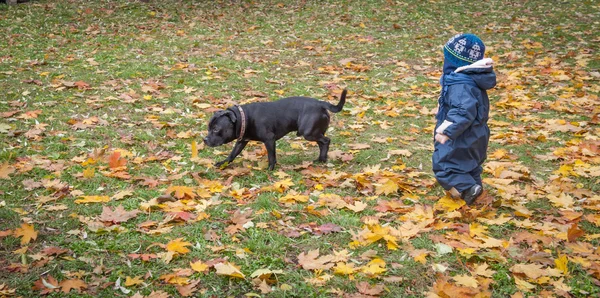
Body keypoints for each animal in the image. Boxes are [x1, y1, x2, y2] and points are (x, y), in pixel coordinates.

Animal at [204, 89, 346, 170]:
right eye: (208, 127)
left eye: (216, 129)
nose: (204, 139)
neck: (244, 117)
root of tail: (321, 103)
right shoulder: (242, 141)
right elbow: (232, 154)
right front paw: (223, 163)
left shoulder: (269, 140)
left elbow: (271, 156)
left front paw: (270, 169)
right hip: (314, 132)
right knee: (322, 143)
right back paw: (321, 159)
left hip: (309, 133)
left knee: (326, 141)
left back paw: (322, 159)